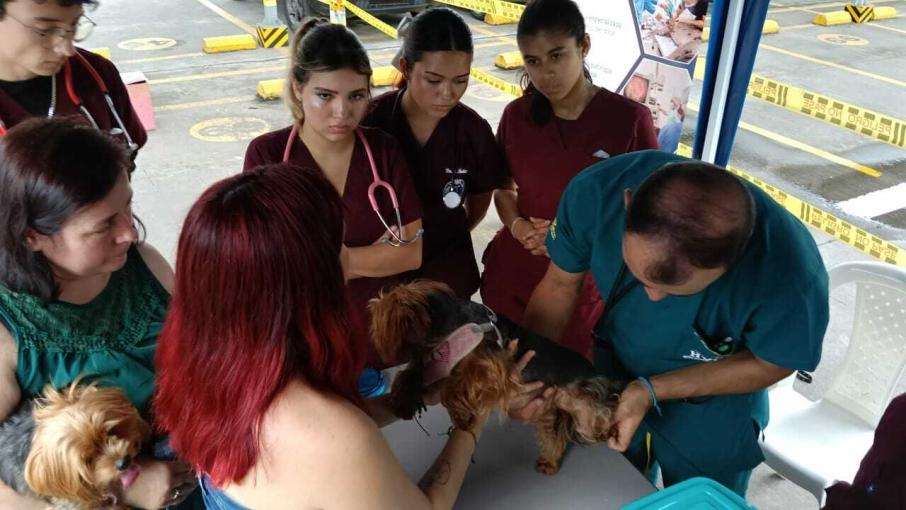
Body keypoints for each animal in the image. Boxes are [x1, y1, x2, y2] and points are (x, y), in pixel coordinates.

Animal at [368, 280, 620, 472]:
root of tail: (595, 371)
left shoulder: (492, 366)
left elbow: (457, 385)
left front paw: (461, 414)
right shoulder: (435, 363)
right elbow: (412, 374)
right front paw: (402, 400)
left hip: (583, 401)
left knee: (600, 413)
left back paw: (608, 429)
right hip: (552, 410)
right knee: (555, 435)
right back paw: (550, 462)